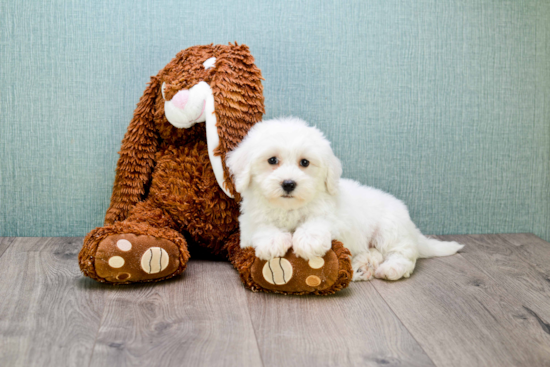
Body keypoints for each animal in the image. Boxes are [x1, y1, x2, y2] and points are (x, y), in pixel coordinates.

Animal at [229, 118, 466, 282]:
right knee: (376, 252)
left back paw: (391, 268)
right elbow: (262, 227)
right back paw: (362, 265)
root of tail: (411, 227)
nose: (288, 183)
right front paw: (272, 241)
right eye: (272, 160)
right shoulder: (249, 224)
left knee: (403, 253)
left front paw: (308, 241)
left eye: (304, 162)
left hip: (390, 228)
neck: (289, 209)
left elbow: (317, 221)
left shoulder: (333, 217)